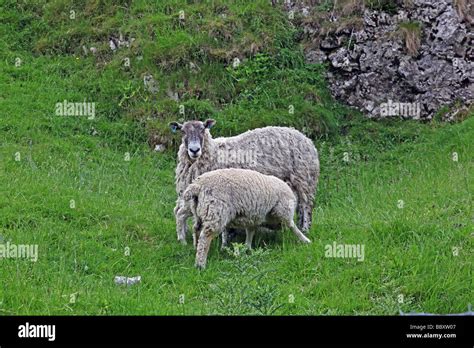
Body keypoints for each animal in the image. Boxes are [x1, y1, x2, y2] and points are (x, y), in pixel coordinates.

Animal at [168, 118, 320, 243]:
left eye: (203, 129)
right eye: (182, 131)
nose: (194, 150)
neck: (214, 152)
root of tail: (306, 138)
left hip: (304, 179)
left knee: (306, 206)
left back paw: (305, 228)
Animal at [181, 169, 312, 270]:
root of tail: (197, 186)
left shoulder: (253, 217)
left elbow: (250, 232)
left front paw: (247, 248)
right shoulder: (283, 210)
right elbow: (292, 225)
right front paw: (305, 240)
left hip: (200, 212)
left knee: (196, 230)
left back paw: (195, 248)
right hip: (216, 211)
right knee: (205, 237)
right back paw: (200, 264)